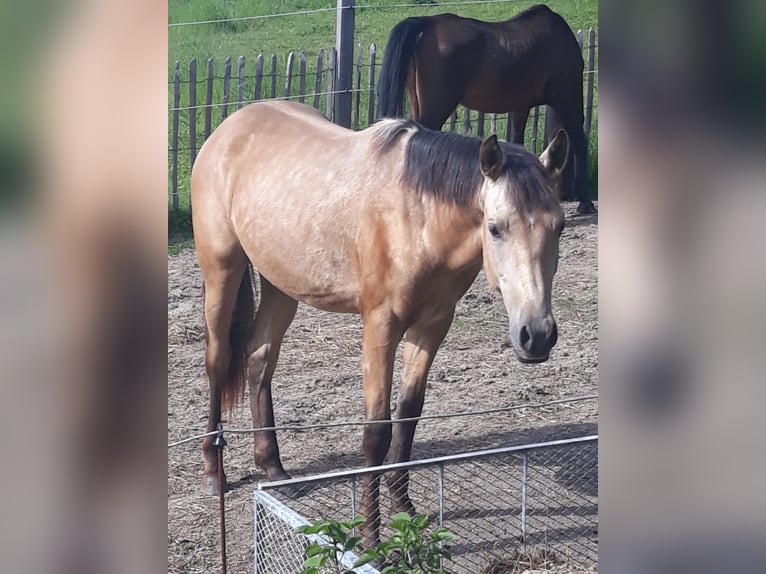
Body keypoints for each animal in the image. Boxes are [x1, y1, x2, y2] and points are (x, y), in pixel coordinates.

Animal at [191, 99, 566, 546]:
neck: (416, 215)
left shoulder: (433, 324)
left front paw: (404, 509)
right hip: (222, 271)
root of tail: (230, 127)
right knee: (218, 362)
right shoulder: (380, 326)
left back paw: (274, 467)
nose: (537, 335)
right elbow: (377, 432)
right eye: (495, 227)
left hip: (281, 284)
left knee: (259, 358)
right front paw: (372, 537)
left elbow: (408, 416)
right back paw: (214, 472)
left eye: (559, 226)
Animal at [376, 4, 596, 215]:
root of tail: (425, 23)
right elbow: (578, 141)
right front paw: (585, 202)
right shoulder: (568, 97)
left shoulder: (521, 105)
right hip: (436, 108)